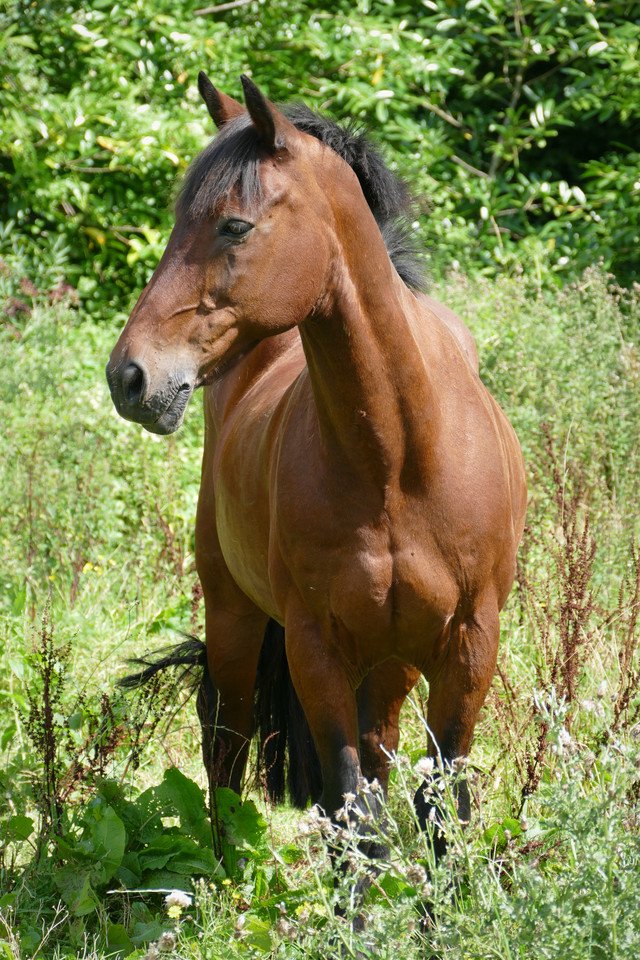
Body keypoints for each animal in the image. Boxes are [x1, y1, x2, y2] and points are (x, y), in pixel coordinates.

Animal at [106, 73, 524, 856]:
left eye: (234, 226)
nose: (130, 377)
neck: (398, 457)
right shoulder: (317, 649)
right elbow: (348, 805)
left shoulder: (467, 649)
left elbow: (439, 805)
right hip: (235, 622)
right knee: (227, 752)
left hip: (389, 662)